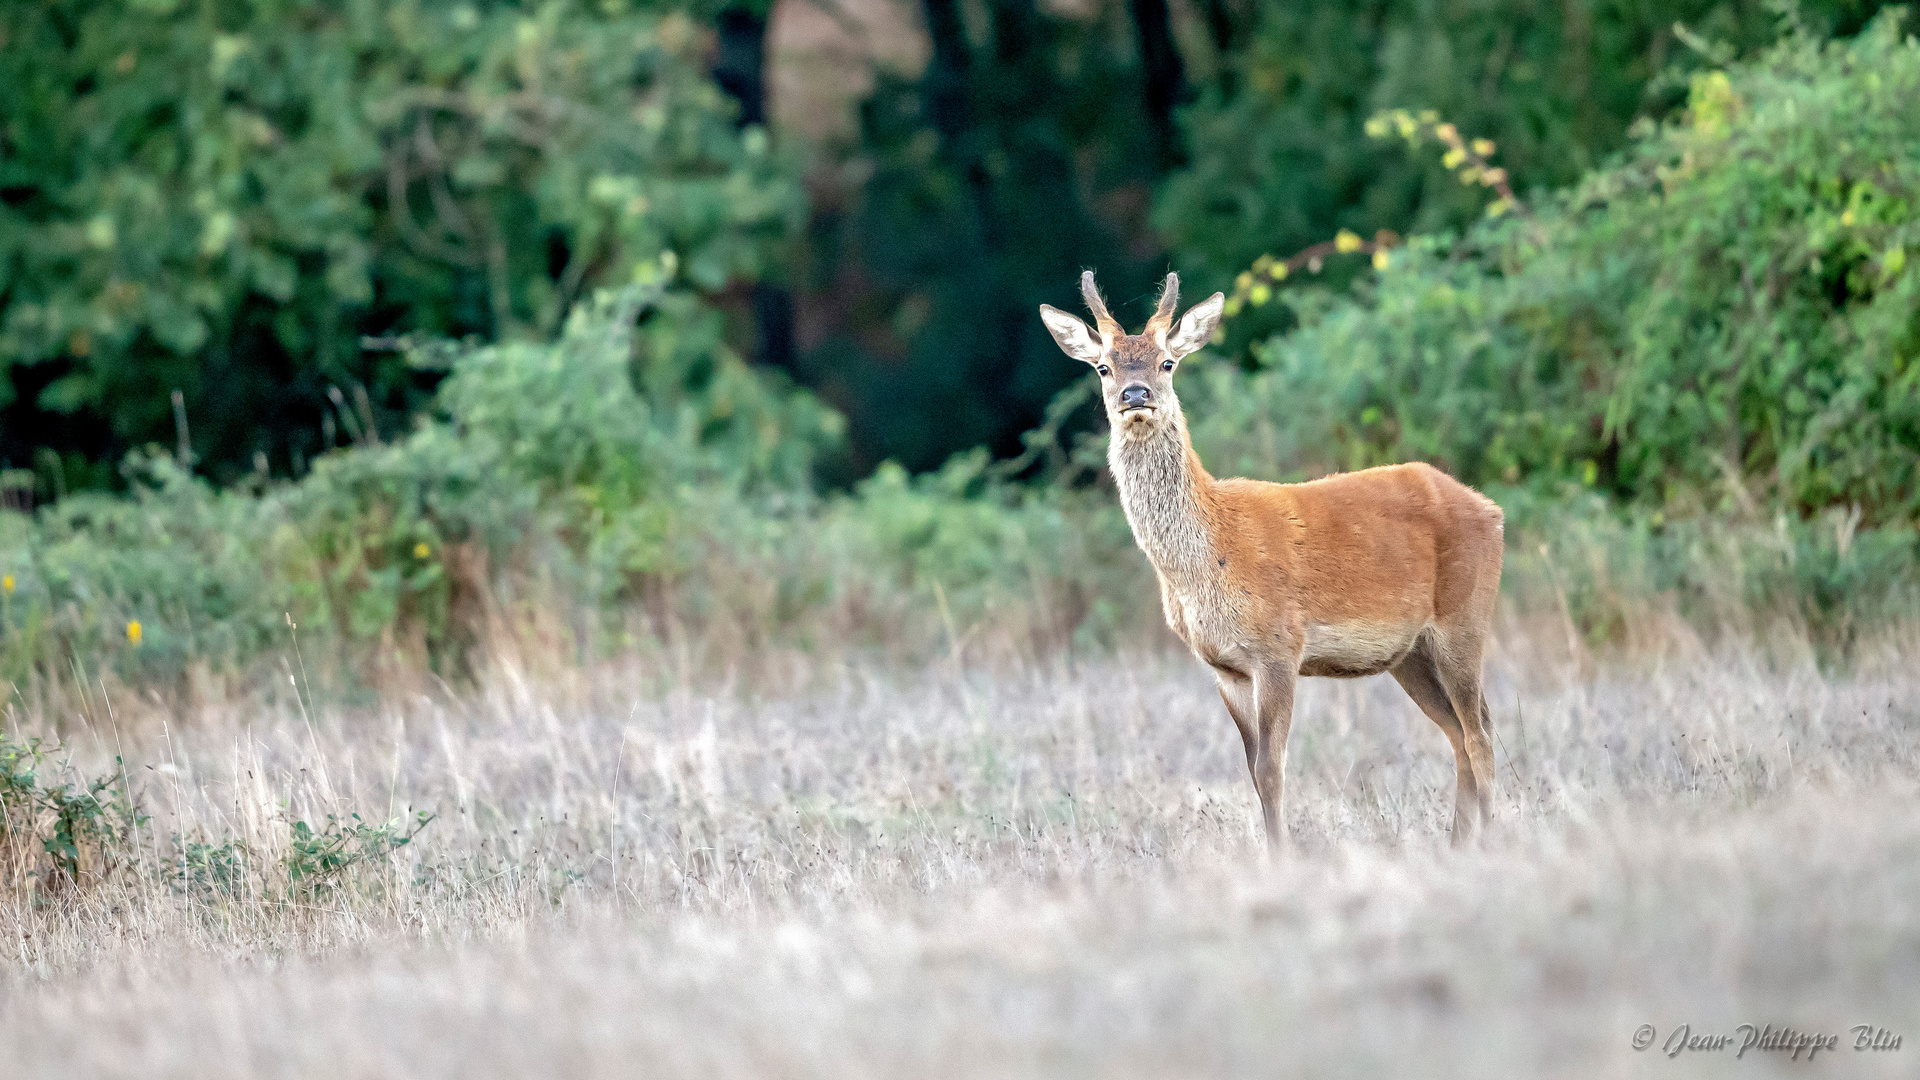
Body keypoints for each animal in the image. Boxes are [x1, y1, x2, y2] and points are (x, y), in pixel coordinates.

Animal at [1044, 269, 1505, 841]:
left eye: (1167, 361)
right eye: (1103, 365)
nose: (1136, 393)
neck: (1207, 560)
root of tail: (1491, 511)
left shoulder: (1279, 646)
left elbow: (1271, 767)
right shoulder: (1225, 666)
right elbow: (1252, 770)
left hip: (1464, 616)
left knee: (1480, 731)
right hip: (1410, 652)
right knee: (1461, 733)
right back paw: (1458, 842)